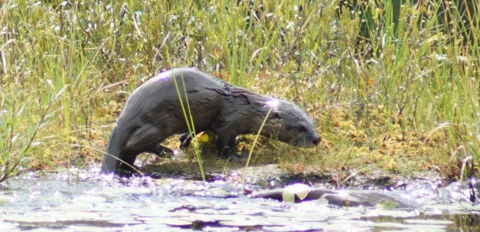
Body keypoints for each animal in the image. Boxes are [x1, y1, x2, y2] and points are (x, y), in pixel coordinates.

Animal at [100, 68, 320, 175]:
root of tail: (122, 119)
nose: (317, 139)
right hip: (158, 123)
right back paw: (166, 151)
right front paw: (237, 155)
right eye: (301, 127)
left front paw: (185, 139)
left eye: (312, 122)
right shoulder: (228, 124)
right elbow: (223, 145)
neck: (246, 107)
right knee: (134, 143)